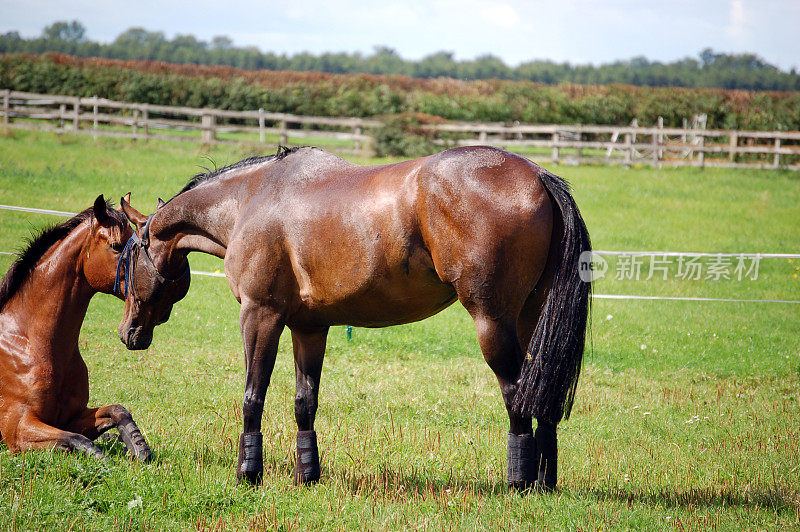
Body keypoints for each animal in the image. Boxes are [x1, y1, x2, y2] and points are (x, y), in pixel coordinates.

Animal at [0, 195, 152, 462]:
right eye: (116, 246)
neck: (30, 342)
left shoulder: (71, 417)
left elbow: (118, 410)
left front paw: (138, 447)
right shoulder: (16, 429)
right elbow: (77, 439)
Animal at [120, 147, 592, 490]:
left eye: (125, 257)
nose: (128, 333)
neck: (249, 199)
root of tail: (538, 175)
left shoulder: (260, 315)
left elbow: (253, 396)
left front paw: (248, 474)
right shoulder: (309, 327)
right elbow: (304, 403)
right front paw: (307, 476)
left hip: (492, 322)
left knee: (517, 396)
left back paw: (520, 483)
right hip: (532, 321)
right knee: (541, 393)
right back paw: (544, 483)